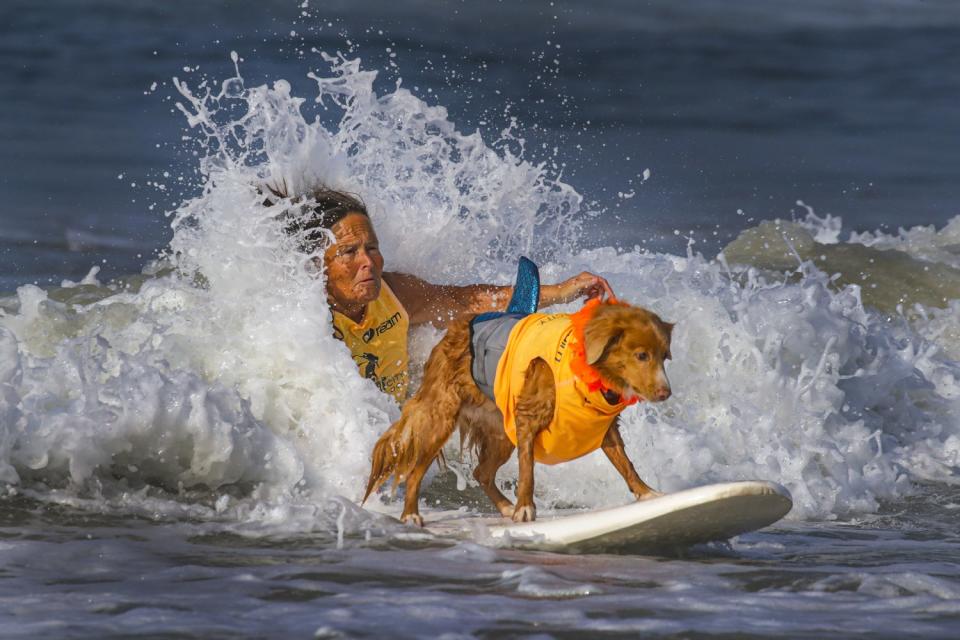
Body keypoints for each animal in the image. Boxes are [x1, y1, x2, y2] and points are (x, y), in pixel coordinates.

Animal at [362, 300, 676, 524]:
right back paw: (410, 515)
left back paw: (503, 508)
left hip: (501, 432)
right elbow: (528, 469)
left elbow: (625, 463)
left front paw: (647, 493)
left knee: (481, 472)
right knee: (415, 472)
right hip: (442, 418)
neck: (585, 365)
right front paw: (525, 508)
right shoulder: (528, 415)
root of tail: (450, 334)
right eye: (641, 355)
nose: (665, 393)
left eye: (664, 356)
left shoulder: (604, 426)